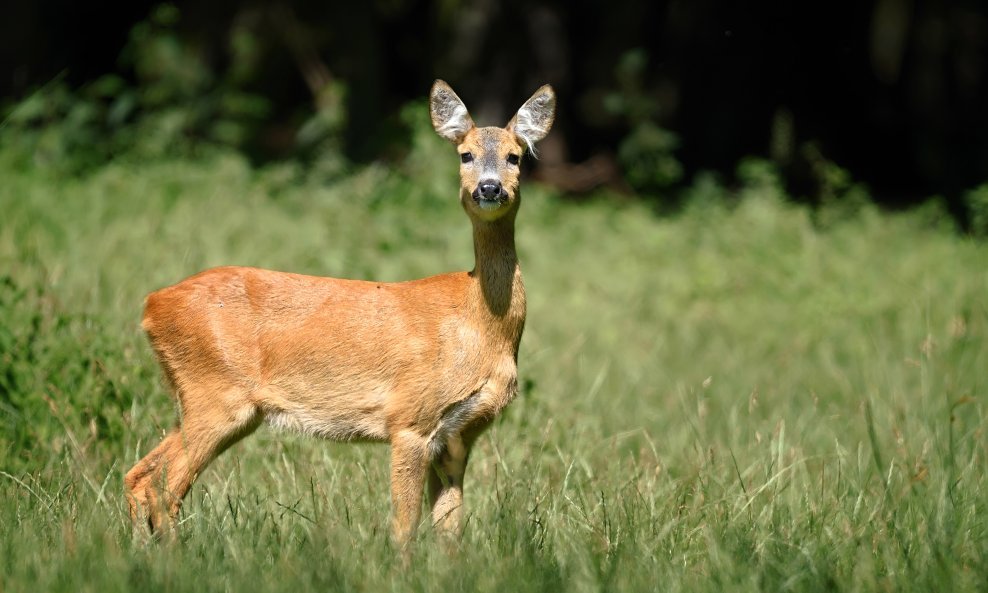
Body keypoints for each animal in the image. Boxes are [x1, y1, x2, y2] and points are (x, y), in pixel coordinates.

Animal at [123, 78, 556, 544]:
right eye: (466, 154)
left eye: (515, 156)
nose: (489, 188)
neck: (478, 322)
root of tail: (153, 304)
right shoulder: (409, 418)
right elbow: (404, 525)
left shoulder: (458, 436)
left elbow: (449, 531)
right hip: (215, 393)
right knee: (163, 487)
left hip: (207, 402)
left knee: (139, 475)